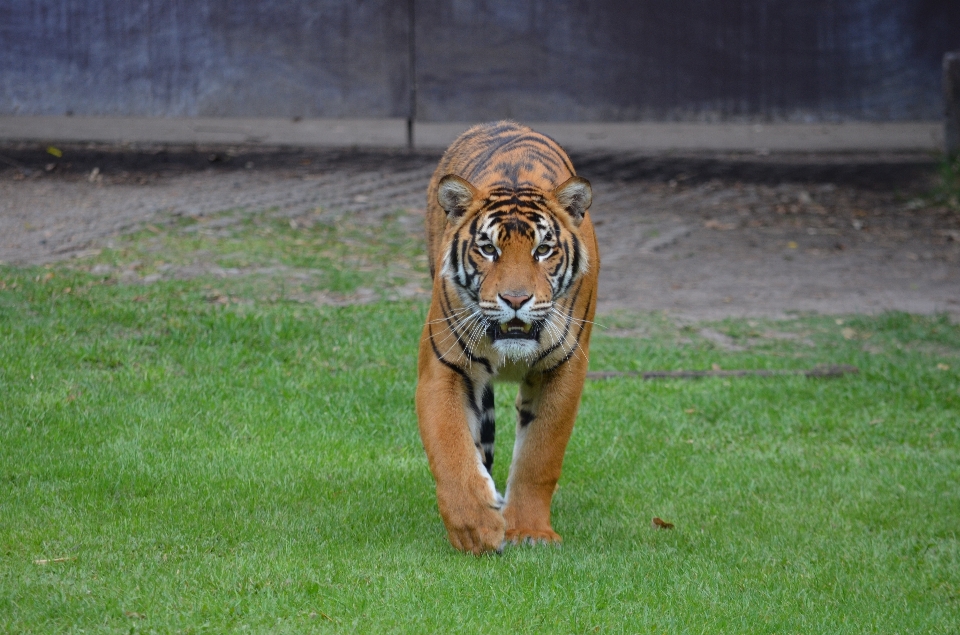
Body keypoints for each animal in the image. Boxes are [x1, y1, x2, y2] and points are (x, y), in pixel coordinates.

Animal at [414, 121, 596, 556]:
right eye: (487, 248)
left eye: (543, 249)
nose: (515, 299)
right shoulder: (444, 367)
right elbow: (451, 451)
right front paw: (475, 528)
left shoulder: (564, 369)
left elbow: (539, 456)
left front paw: (529, 530)